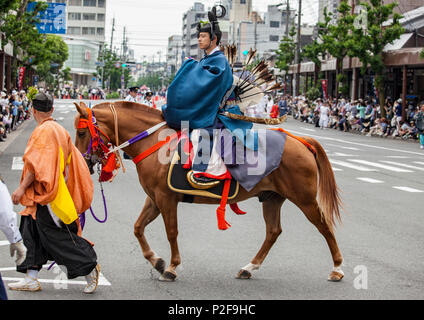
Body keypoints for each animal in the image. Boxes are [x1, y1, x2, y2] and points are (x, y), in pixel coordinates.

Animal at [73, 101, 344, 282]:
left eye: (81, 132)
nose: (84, 163)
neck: (155, 142)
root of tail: (300, 140)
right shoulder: (154, 197)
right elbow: (138, 227)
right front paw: (157, 261)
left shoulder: (166, 198)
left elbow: (172, 232)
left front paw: (171, 268)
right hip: (272, 198)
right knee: (273, 232)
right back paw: (249, 267)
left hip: (304, 198)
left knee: (324, 226)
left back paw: (337, 268)